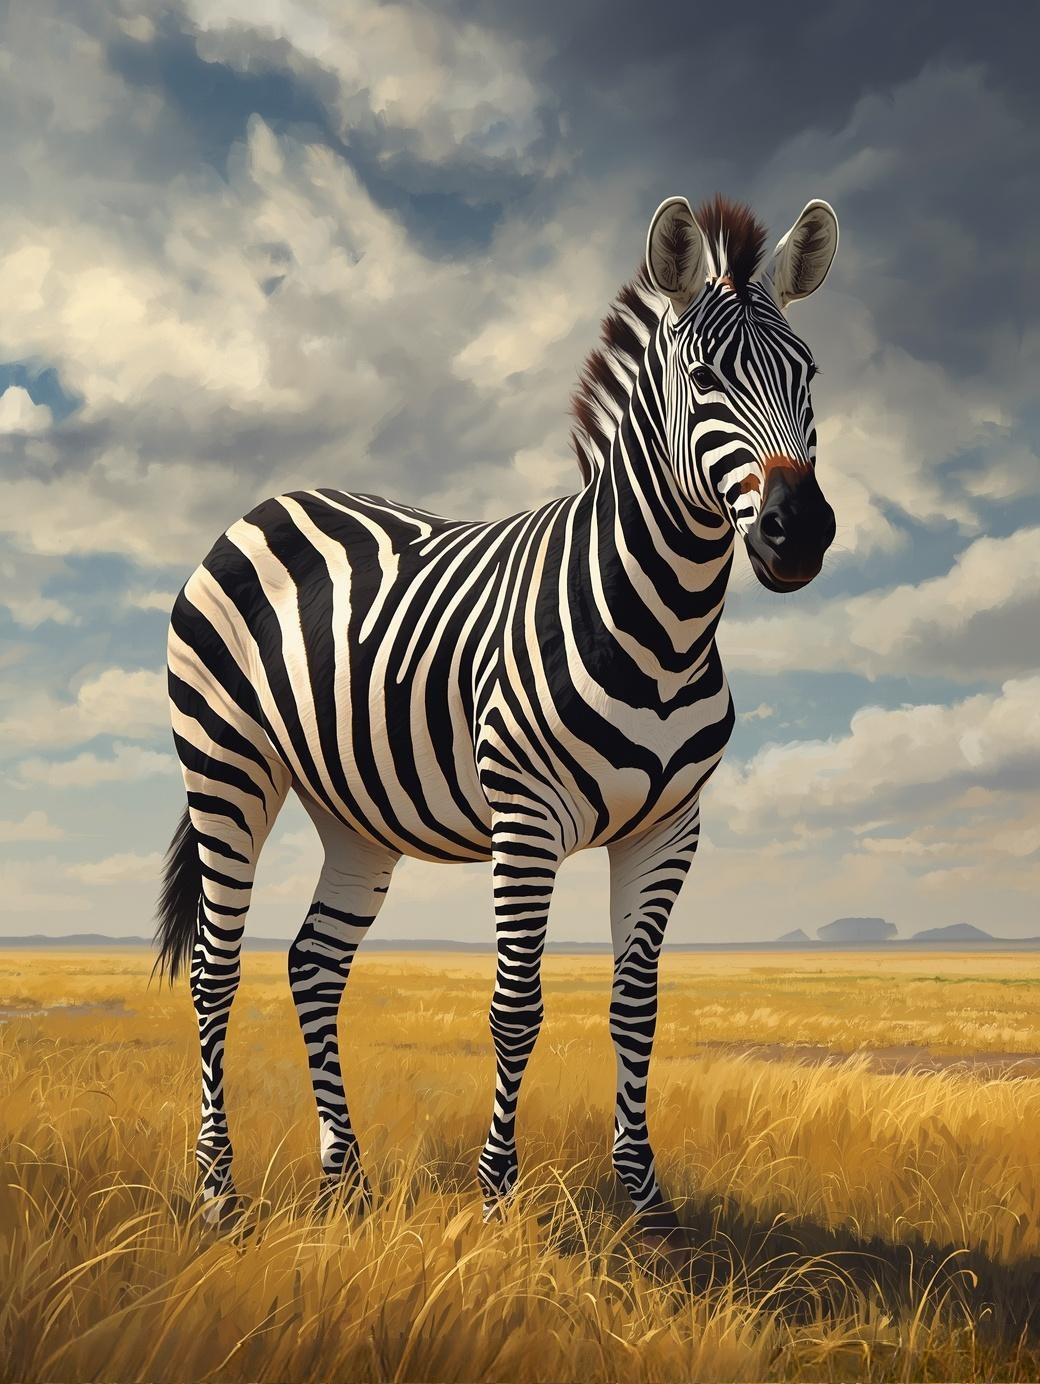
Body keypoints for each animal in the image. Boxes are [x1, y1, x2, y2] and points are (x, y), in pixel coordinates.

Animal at [156, 193, 839, 1244]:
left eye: (809, 376)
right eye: (702, 381)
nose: (798, 533)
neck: (664, 622)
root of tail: (266, 502)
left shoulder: (670, 828)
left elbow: (636, 1006)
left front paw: (646, 1201)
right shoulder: (526, 816)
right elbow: (515, 1006)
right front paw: (496, 1198)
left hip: (354, 813)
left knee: (313, 963)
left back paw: (345, 1179)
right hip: (225, 766)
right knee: (214, 969)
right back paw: (218, 1192)